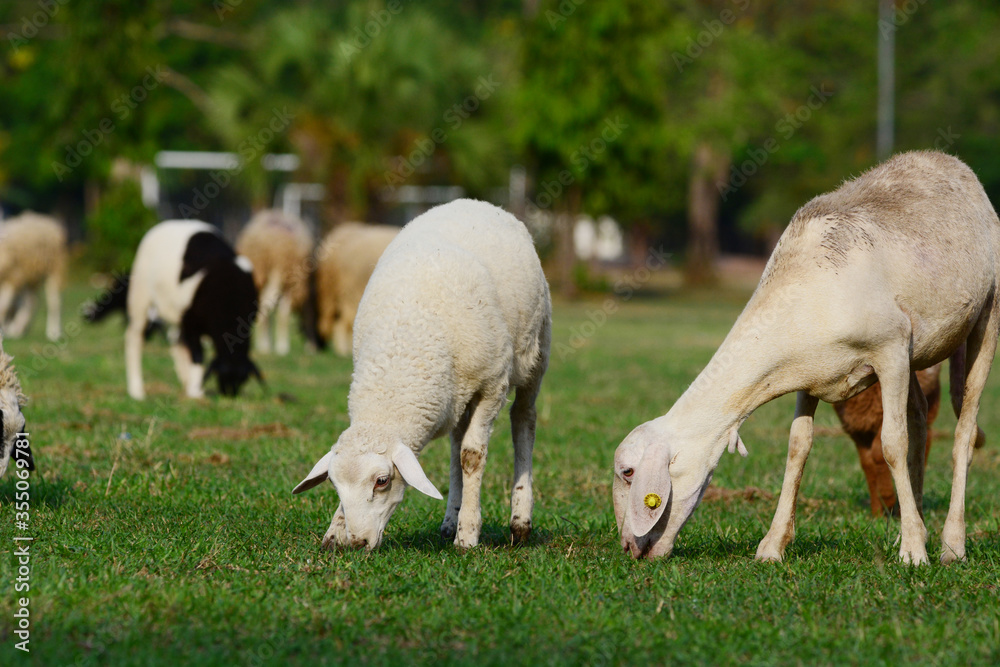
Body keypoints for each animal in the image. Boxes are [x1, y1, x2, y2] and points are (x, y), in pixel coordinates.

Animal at [0, 212, 67, 342]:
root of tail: (42, 218)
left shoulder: (13, 278)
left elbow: (4, 307)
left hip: (55, 267)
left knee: (54, 301)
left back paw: (53, 332)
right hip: (32, 277)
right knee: (32, 302)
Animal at [89, 220, 262, 399]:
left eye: (244, 379)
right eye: (222, 374)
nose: (230, 395)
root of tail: (174, 223)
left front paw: (194, 388)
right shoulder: (191, 321)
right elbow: (197, 355)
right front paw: (196, 392)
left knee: (178, 344)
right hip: (140, 297)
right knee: (134, 338)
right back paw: (137, 390)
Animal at [235, 209, 313, 356]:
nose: (314, 347)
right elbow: (284, 314)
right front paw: (283, 348)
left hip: (259, 274)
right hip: (281, 273)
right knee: (270, 308)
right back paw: (269, 346)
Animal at [618, 151, 1000, 565]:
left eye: (627, 472)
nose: (628, 547)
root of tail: (947, 160)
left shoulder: (890, 350)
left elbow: (892, 444)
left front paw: (913, 552)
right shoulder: (810, 374)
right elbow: (798, 448)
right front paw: (772, 545)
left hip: (985, 314)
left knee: (963, 428)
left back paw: (950, 543)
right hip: (915, 351)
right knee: (919, 418)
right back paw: (912, 526)